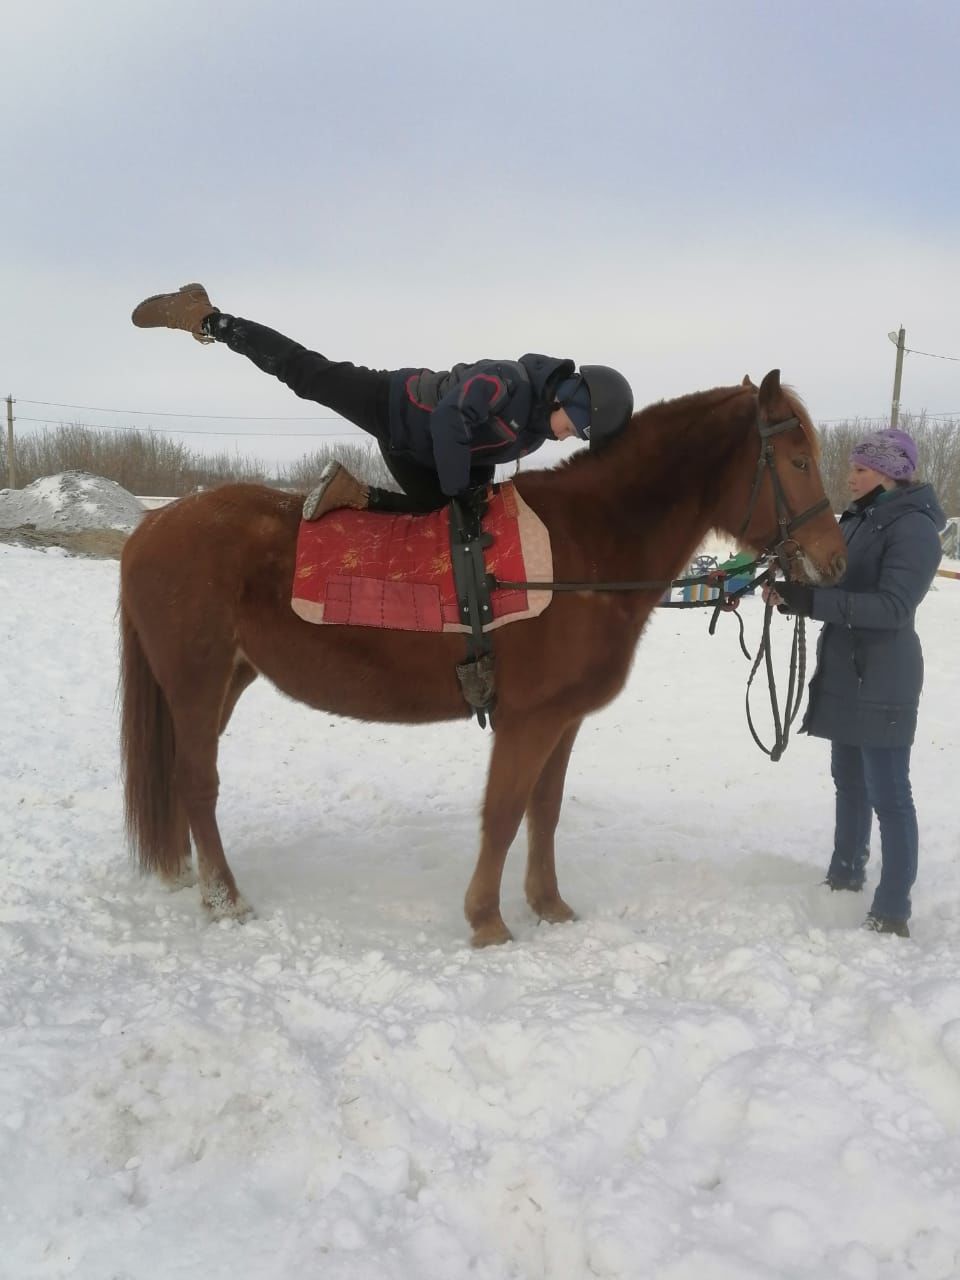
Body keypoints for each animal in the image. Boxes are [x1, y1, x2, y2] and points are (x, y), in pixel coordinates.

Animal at [122, 366, 849, 947]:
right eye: (798, 461)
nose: (836, 563)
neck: (585, 549)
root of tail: (153, 524)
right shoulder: (527, 719)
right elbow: (501, 813)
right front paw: (487, 921)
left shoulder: (561, 719)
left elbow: (543, 811)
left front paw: (549, 906)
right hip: (196, 681)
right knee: (197, 782)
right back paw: (225, 899)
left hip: (225, 682)